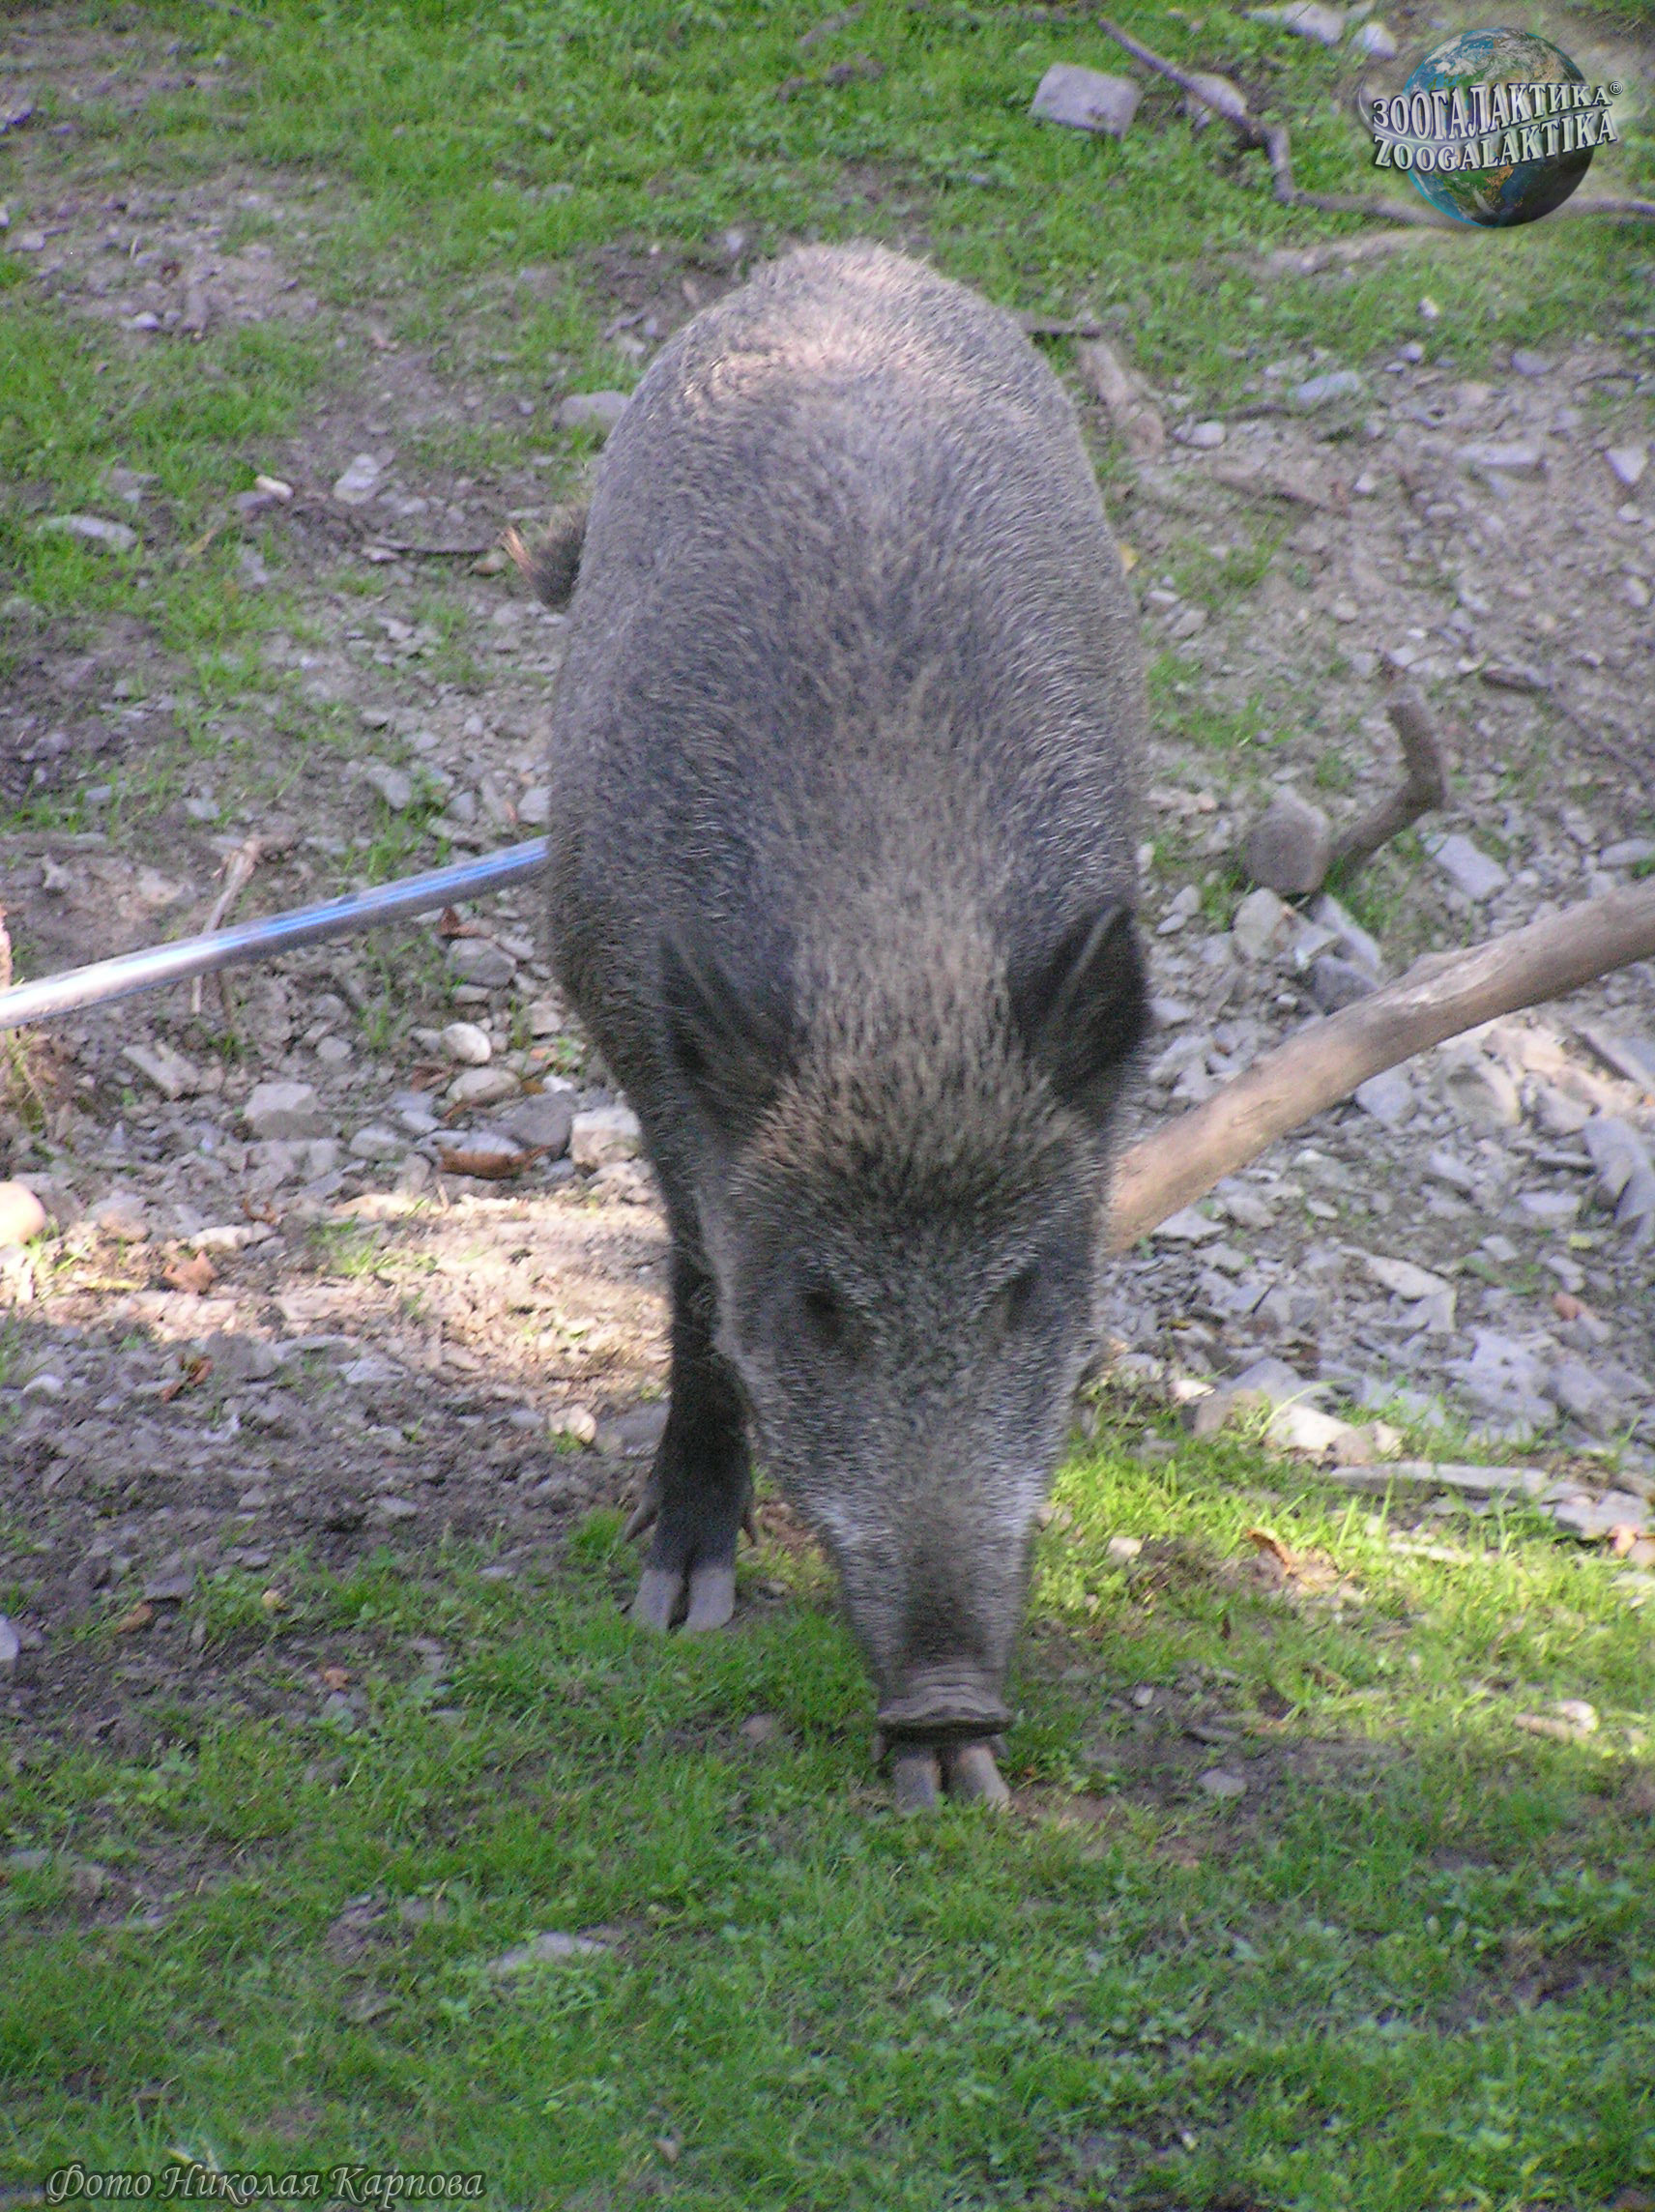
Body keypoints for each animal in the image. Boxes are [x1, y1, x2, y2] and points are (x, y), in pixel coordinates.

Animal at [517, 243, 1148, 1806]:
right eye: (817, 1304)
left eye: (1026, 1290)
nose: (946, 1712)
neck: (896, 952)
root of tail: (841, 257)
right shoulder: (648, 1049)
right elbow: (695, 1285)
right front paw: (678, 1595)